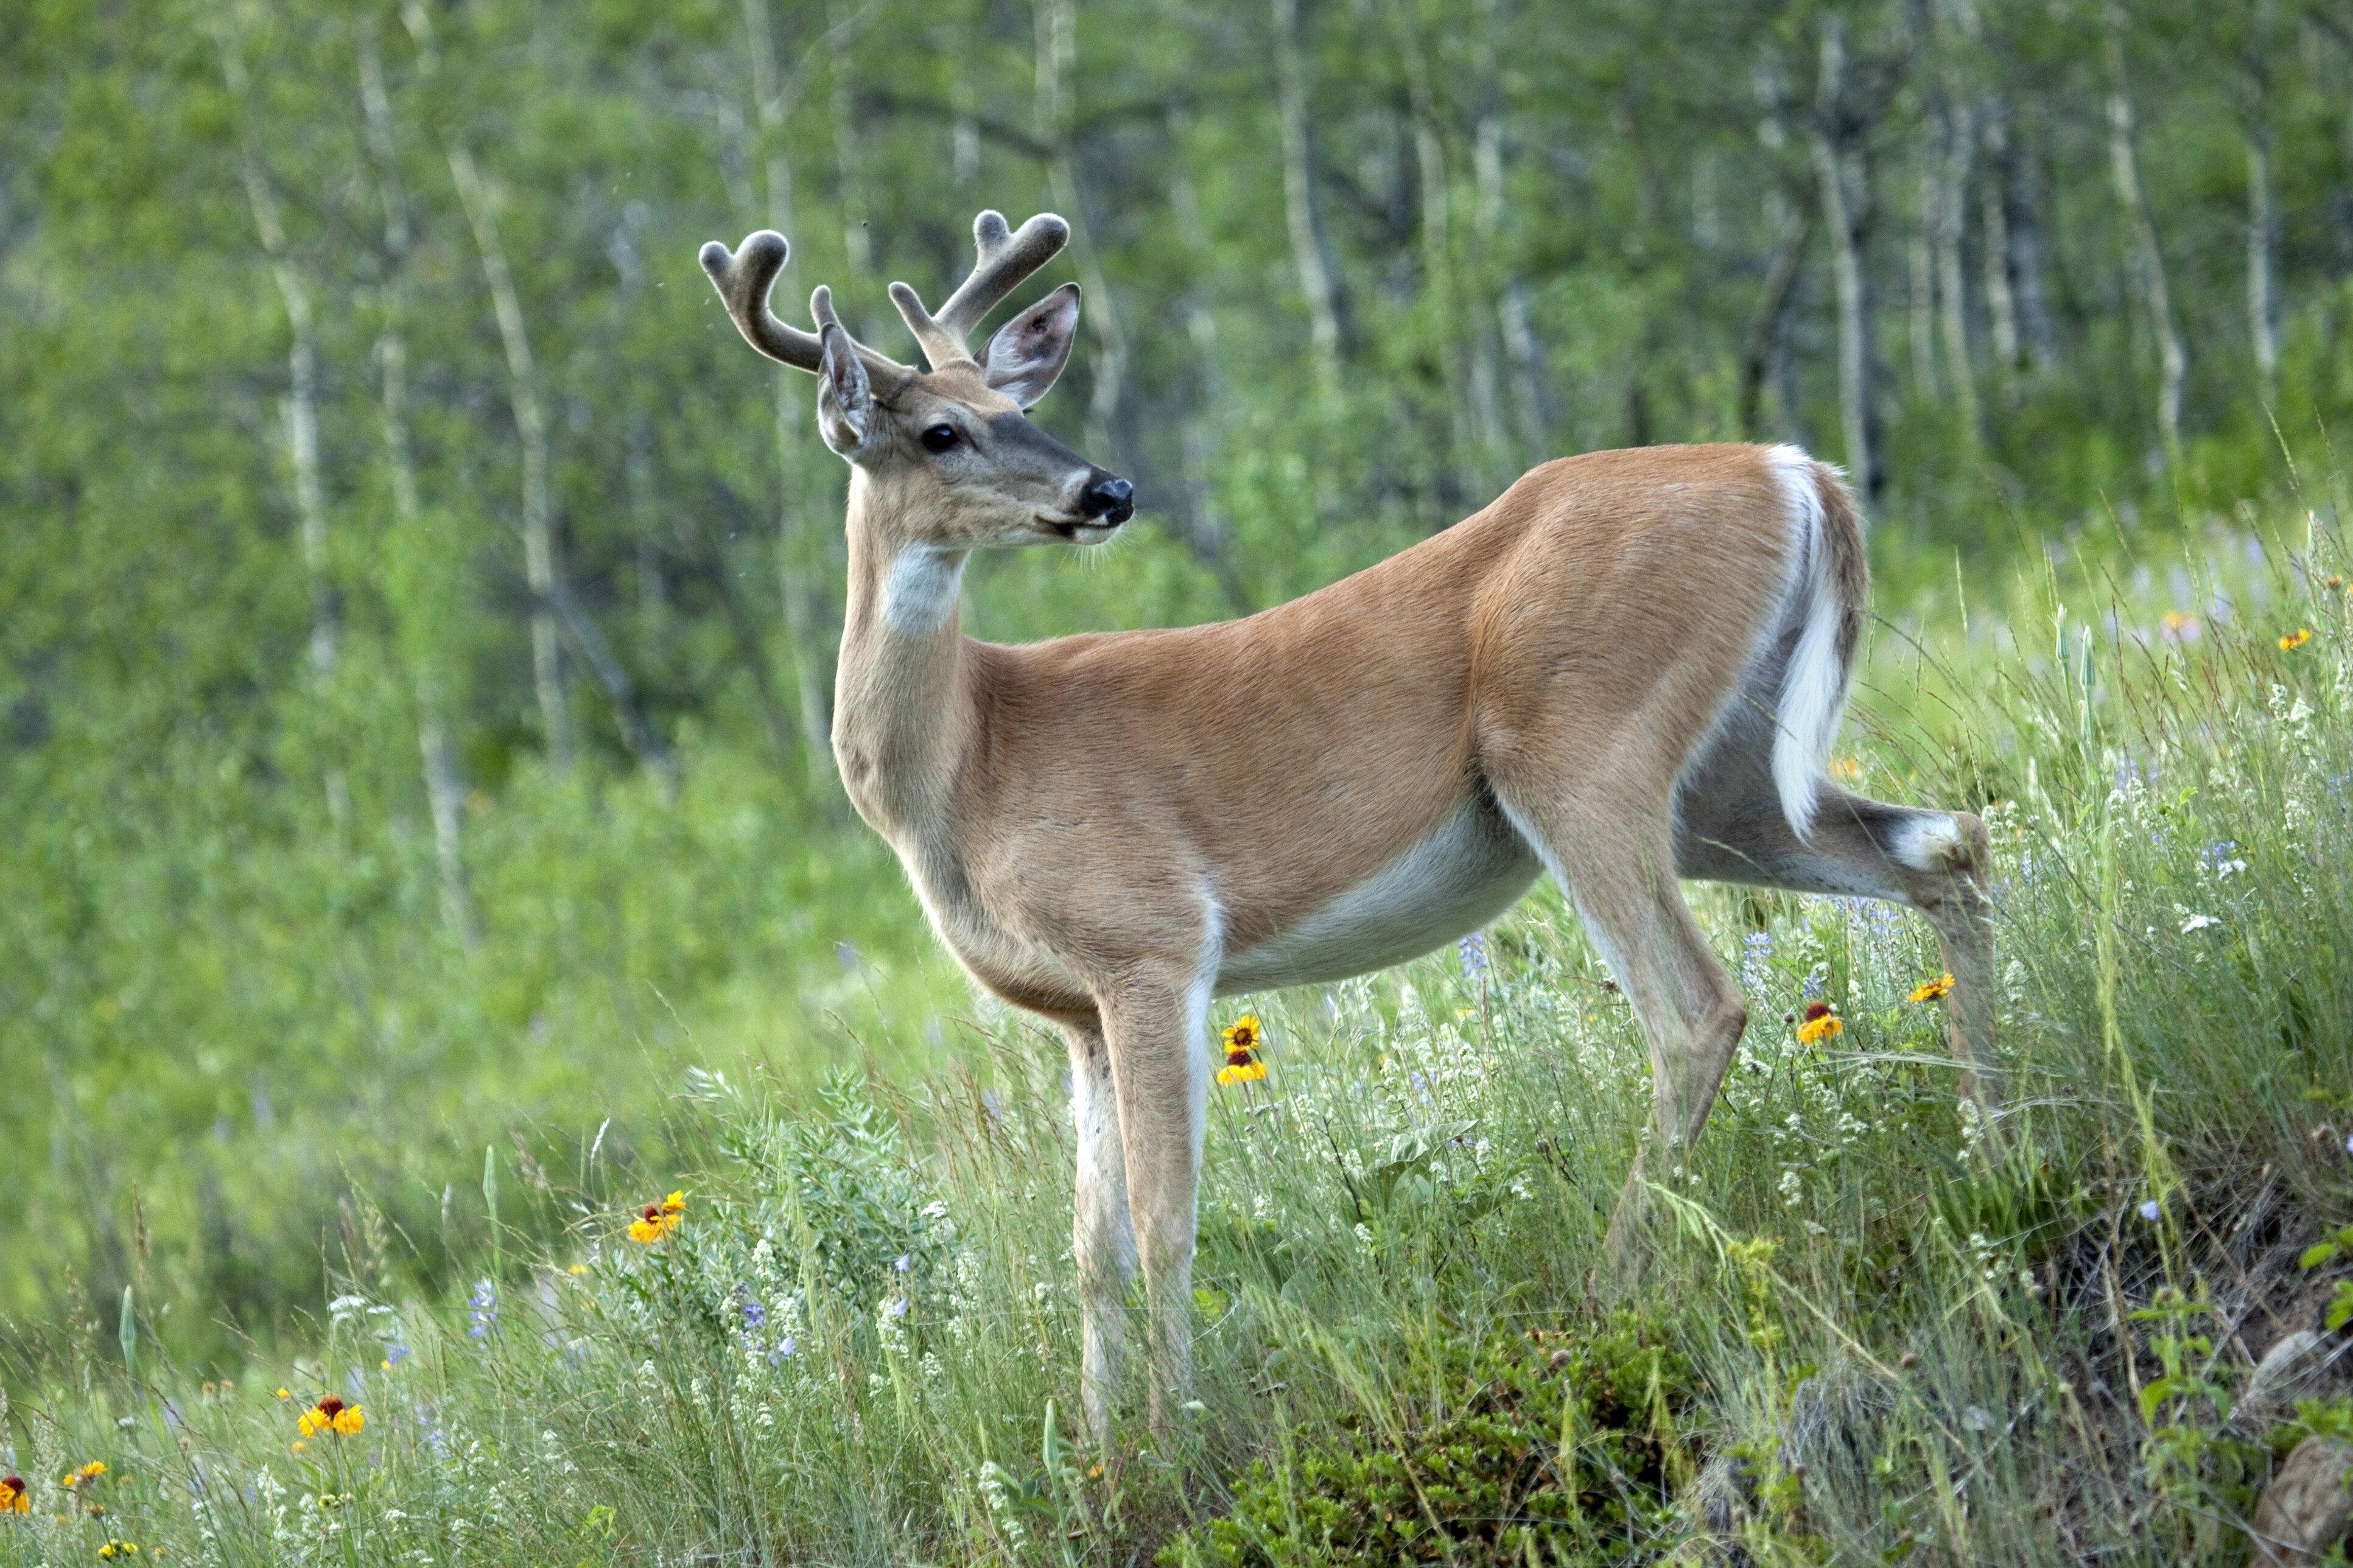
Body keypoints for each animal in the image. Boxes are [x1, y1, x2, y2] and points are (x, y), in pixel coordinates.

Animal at [687, 211, 1995, 1450]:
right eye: (943, 432)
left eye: (1016, 405)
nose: (1106, 491)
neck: (969, 765)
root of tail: (1797, 468)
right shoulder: (1075, 1014)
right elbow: (1091, 1251)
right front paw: (1103, 1461)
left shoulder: (1151, 939)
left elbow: (1166, 1219)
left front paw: (1173, 1440)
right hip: (1725, 784)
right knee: (1948, 848)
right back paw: (1997, 1139)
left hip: (1583, 746)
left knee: (1696, 1010)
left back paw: (1610, 1290)